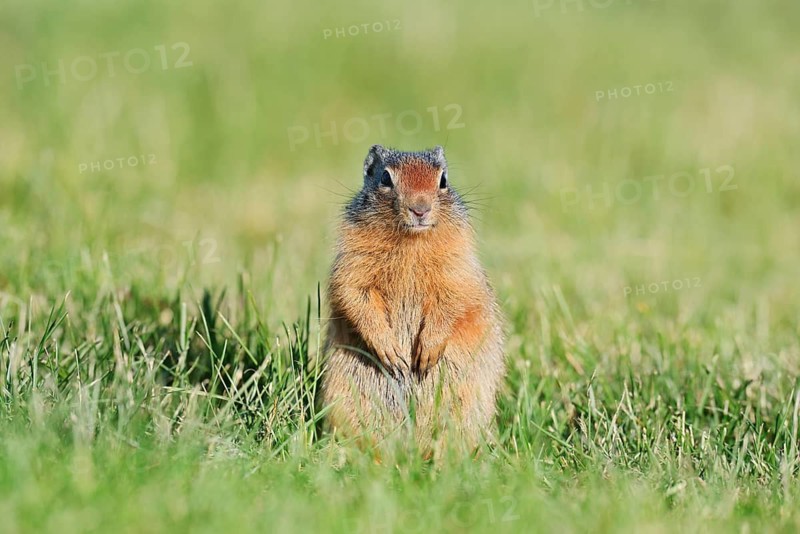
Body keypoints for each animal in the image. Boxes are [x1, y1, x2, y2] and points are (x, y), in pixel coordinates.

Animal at [318, 145, 505, 453]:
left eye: (443, 180)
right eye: (385, 178)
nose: (420, 209)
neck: (411, 242)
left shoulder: (458, 267)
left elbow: (453, 300)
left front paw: (425, 353)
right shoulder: (353, 262)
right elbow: (353, 293)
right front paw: (392, 353)